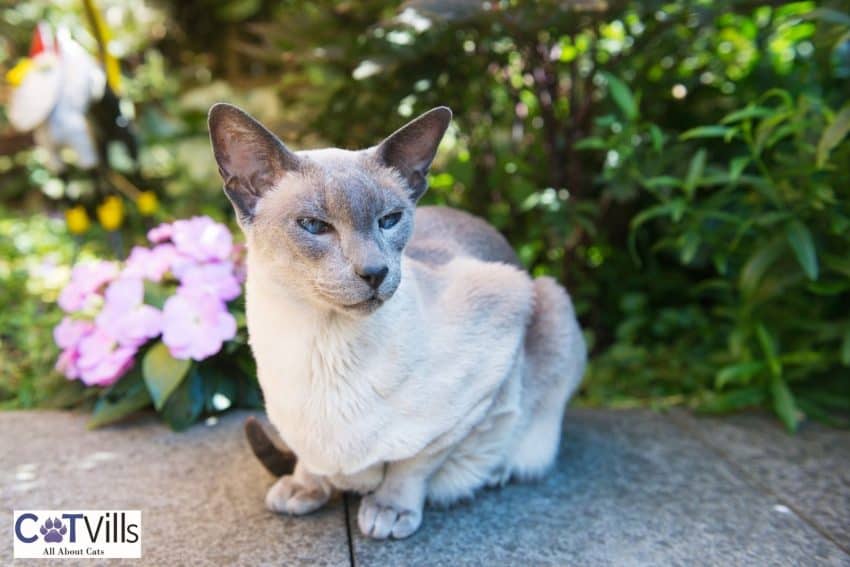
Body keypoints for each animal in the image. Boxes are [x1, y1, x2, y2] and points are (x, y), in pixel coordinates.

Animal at [209, 103, 588, 540]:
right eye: (315, 226)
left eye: (389, 220)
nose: (375, 272)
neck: (321, 344)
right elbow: (308, 456)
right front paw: (306, 486)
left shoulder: (487, 366)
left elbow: (416, 460)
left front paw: (389, 509)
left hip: (551, 299)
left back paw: (497, 471)